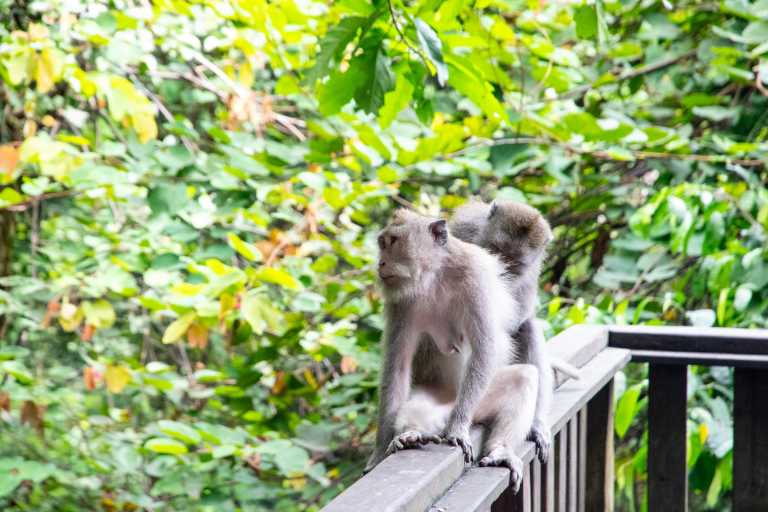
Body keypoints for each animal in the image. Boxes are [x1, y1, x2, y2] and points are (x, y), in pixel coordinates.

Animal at [366, 208, 538, 492]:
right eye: (383, 243)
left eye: (393, 242)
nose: (380, 264)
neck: (436, 274)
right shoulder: (401, 302)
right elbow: (397, 367)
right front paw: (379, 452)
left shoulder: (475, 280)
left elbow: (484, 350)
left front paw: (457, 429)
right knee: (418, 409)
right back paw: (411, 435)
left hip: (478, 401)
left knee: (524, 378)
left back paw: (499, 449)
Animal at [449, 198, 568, 465]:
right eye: (495, 250)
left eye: (513, 263)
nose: (498, 269)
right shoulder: (463, 232)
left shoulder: (532, 270)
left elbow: (519, 314)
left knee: (527, 328)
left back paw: (536, 424)